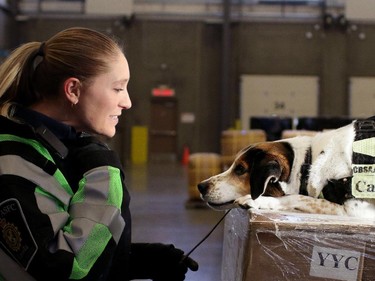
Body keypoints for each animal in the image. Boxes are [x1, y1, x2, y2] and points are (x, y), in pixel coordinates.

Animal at [200, 118, 375, 219]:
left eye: (240, 169)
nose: (200, 186)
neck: (308, 162)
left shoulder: (357, 210)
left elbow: (298, 198)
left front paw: (256, 200)